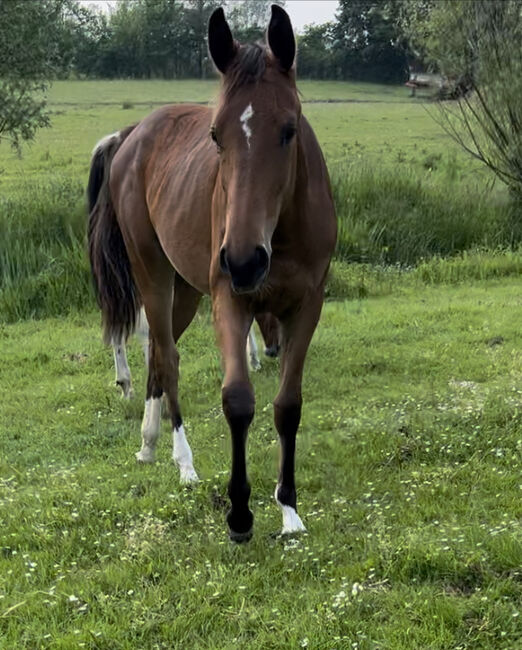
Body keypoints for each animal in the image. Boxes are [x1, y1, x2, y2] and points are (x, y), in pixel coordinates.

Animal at [87, 7, 336, 540]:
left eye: (289, 129)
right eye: (217, 134)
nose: (243, 259)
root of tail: (133, 135)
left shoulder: (307, 306)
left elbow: (288, 405)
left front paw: (289, 511)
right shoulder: (230, 301)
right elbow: (238, 400)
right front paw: (240, 514)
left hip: (185, 291)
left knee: (159, 356)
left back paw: (149, 443)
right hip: (153, 275)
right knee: (166, 356)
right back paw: (183, 461)